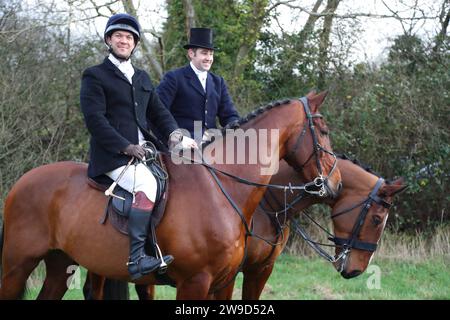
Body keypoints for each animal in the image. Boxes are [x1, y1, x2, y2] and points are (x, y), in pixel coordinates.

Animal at [0, 92, 342, 300]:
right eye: (324, 132)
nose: (335, 184)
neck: (221, 188)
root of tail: (22, 182)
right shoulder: (195, 281)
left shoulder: (223, 280)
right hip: (17, 263)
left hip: (60, 264)